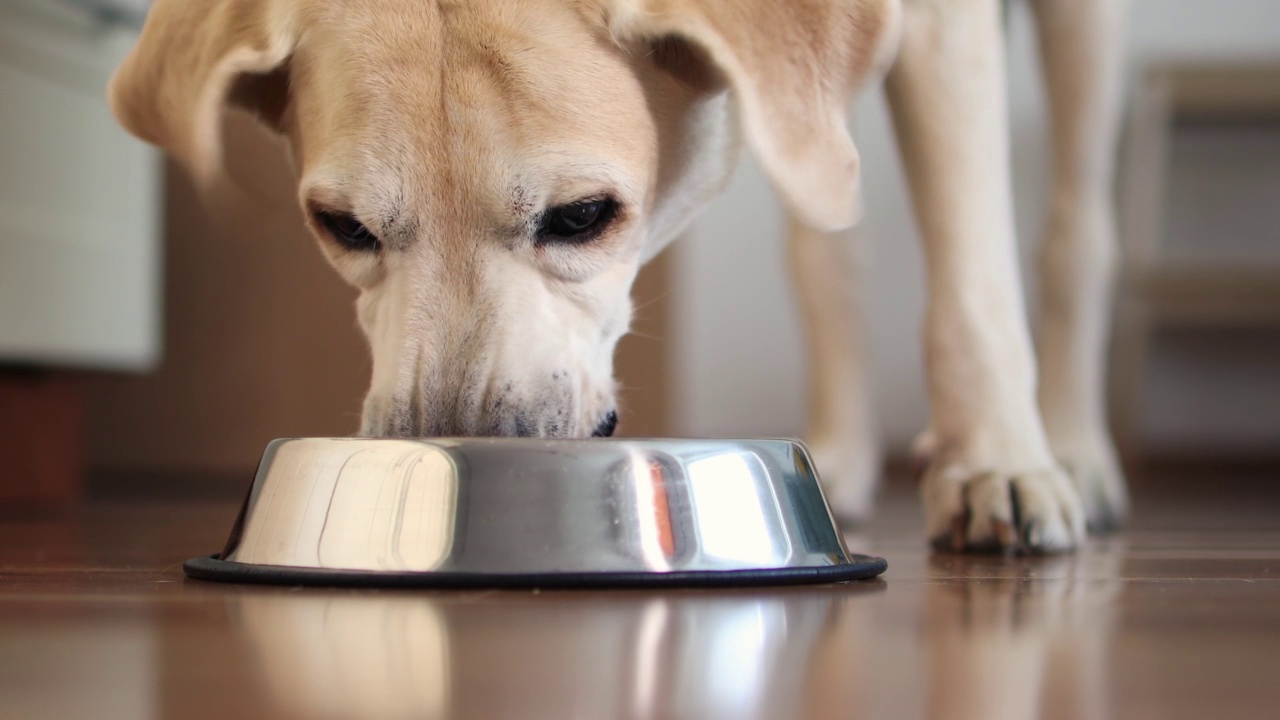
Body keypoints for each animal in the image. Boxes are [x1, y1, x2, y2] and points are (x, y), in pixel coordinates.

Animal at [110, 0, 1131, 550]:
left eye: (581, 217)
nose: (456, 455)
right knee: (827, 234)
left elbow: (974, 281)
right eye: (343, 227)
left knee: (1075, 228)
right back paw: (840, 452)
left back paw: (1073, 450)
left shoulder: (948, 30)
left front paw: (997, 461)